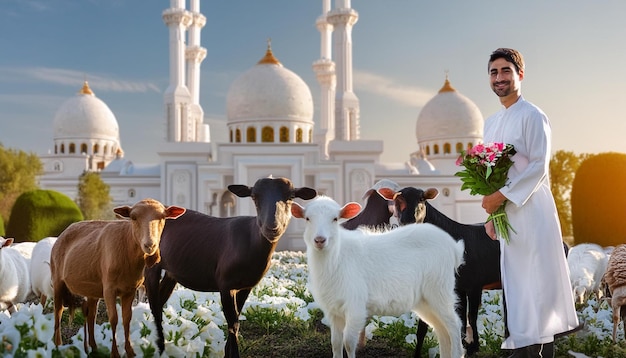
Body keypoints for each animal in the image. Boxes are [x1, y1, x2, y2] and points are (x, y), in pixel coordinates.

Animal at [51, 199, 184, 358]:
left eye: (163, 218)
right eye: (133, 218)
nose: (149, 245)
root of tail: (66, 230)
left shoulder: (130, 290)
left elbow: (127, 318)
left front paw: (130, 351)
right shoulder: (109, 288)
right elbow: (113, 319)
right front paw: (115, 353)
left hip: (92, 288)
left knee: (91, 315)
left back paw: (94, 348)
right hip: (57, 279)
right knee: (58, 311)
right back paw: (57, 346)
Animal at [292, 196, 464, 358]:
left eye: (335, 219)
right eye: (307, 218)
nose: (320, 240)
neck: (337, 257)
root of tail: (454, 247)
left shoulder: (356, 306)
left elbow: (349, 343)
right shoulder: (333, 311)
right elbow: (335, 343)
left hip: (440, 289)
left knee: (454, 325)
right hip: (425, 300)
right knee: (441, 330)